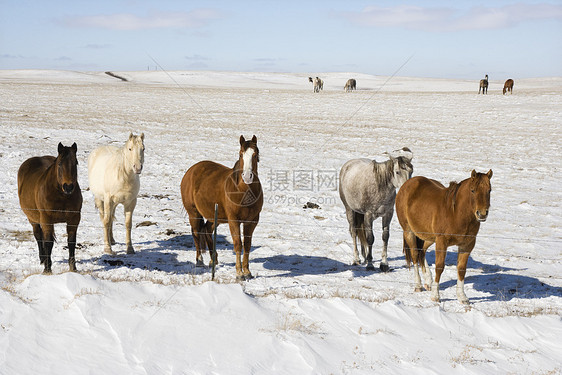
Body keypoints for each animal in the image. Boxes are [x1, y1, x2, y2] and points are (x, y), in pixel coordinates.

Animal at [17, 142, 82, 274]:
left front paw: (73, 268)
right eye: (60, 164)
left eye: (76, 163)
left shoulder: (74, 219)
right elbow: (48, 243)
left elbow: (71, 242)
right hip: (33, 219)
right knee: (38, 236)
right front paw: (47, 270)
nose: (68, 187)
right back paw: (42, 260)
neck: (61, 196)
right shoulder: (46, 219)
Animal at [182, 137, 264, 280]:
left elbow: (247, 245)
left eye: (255, 155)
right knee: (196, 233)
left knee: (207, 230)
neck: (243, 191)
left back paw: (213, 259)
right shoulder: (234, 221)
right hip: (194, 213)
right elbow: (238, 244)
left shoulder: (252, 221)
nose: (247, 176)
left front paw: (247, 271)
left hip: (215, 216)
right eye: (241, 154)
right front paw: (239, 273)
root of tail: (191, 170)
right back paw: (199, 260)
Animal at [394, 170, 490, 306]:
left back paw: (428, 281)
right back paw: (418, 285)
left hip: (429, 237)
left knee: (422, 252)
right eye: (473, 190)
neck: (456, 213)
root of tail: (407, 184)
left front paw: (462, 297)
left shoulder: (467, 245)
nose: (482, 214)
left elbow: (461, 269)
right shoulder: (442, 242)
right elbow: (439, 267)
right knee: (415, 255)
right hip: (409, 232)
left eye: (489, 190)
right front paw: (436, 296)